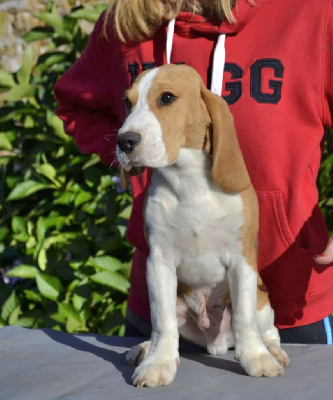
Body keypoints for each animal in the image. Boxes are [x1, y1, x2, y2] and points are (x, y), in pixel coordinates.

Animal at [115, 65, 286, 388]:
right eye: (127, 103)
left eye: (167, 98)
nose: (124, 141)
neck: (189, 181)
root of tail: (215, 343)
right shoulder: (159, 263)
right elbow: (162, 322)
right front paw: (158, 363)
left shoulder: (242, 261)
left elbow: (244, 317)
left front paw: (256, 358)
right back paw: (144, 348)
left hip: (263, 300)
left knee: (267, 329)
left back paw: (271, 350)